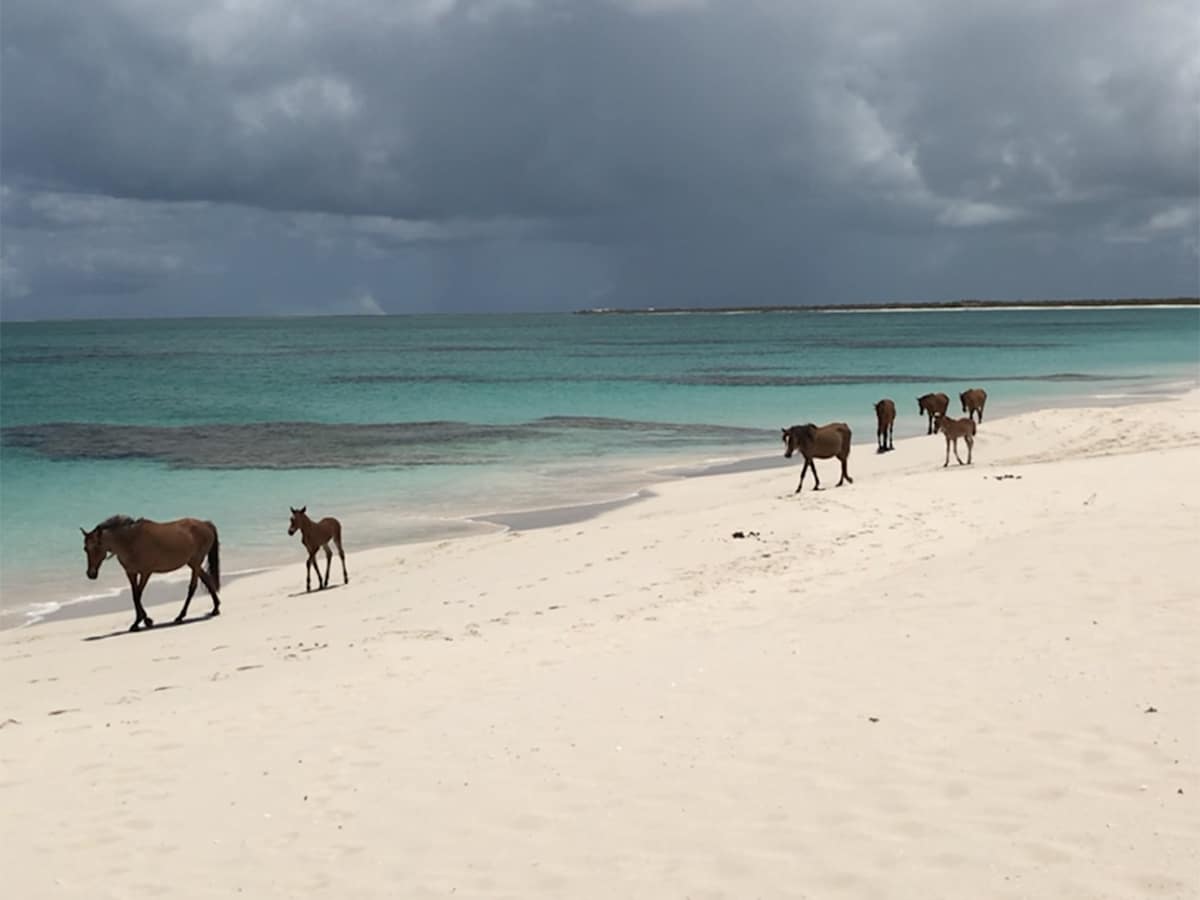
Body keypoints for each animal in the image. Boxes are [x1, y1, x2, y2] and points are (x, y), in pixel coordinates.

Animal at [82, 513, 220, 633]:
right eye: (85, 549)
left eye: (97, 546)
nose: (91, 574)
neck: (130, 541)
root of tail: (206, 524)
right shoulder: (131, 573)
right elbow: (135, 596)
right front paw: (141, 622)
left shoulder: (145, 572)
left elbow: (138, 595)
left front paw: (143, 621)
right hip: (192, 562)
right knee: (207, 580)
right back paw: (215, 608)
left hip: (196, 562)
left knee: (192, 588)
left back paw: (180, 616)